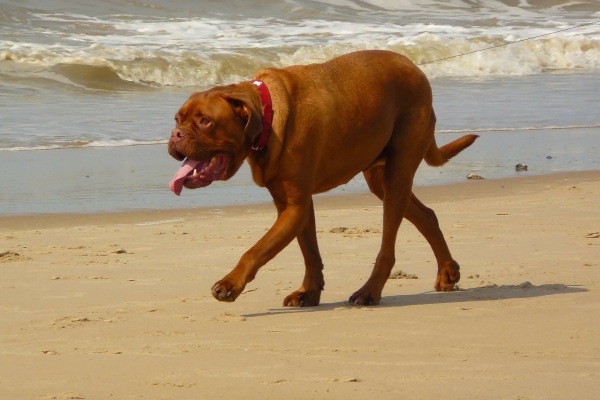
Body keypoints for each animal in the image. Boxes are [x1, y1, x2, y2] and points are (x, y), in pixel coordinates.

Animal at [166, 50, 476, 306]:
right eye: (177, 119)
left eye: (205, 121)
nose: (176, 134)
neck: (266, 116)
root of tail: (417, 71)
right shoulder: (294, 206)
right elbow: (310, 252)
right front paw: (310, 292)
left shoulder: (295, 207)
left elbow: (256, 250)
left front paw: (230, 284)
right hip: (381, 179)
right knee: (426, 216)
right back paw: (447, 272)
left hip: (398, 174)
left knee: (387, 247)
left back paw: (369, 291)